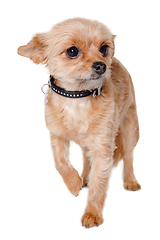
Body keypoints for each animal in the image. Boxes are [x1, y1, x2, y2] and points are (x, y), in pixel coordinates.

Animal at [17, 17, 140, 228]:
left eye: (104, 49)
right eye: (72, 51)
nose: (102, 65)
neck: (77, 98)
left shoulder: (103, 149)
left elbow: (99, 184)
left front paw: (92, 213)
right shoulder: (56, 137)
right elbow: (60, 163)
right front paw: (73, 182)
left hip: (131, 128)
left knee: (129, 156)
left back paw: (130, 180)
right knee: (86, 158)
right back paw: (84, 177)